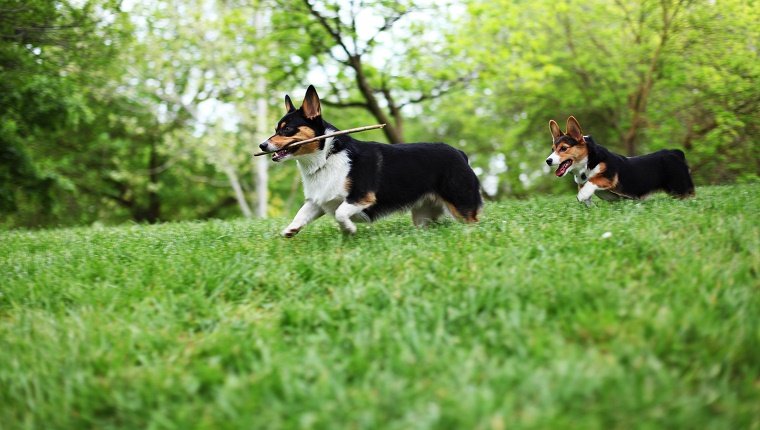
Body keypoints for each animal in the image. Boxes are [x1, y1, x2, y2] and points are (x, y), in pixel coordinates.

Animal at [258, 85, 478, 237]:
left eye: (287, 129)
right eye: (276, 129)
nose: (262, 145)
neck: (327, 157)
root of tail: (460, 153)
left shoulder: (361, 197)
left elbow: (340, 213)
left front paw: (349, 230)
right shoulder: (318, 201)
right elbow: (301, 214)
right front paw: (290, 230)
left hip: (460, 204)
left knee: (473, 222)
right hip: (423, 215)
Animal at [548, 116, 696, 205]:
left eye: (564, 148)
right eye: (553, 149)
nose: (548, 161)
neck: (587, 162)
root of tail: (676, 153)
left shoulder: (609, 176)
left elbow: (593, 181)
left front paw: (582, 195)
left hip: (680, 187)